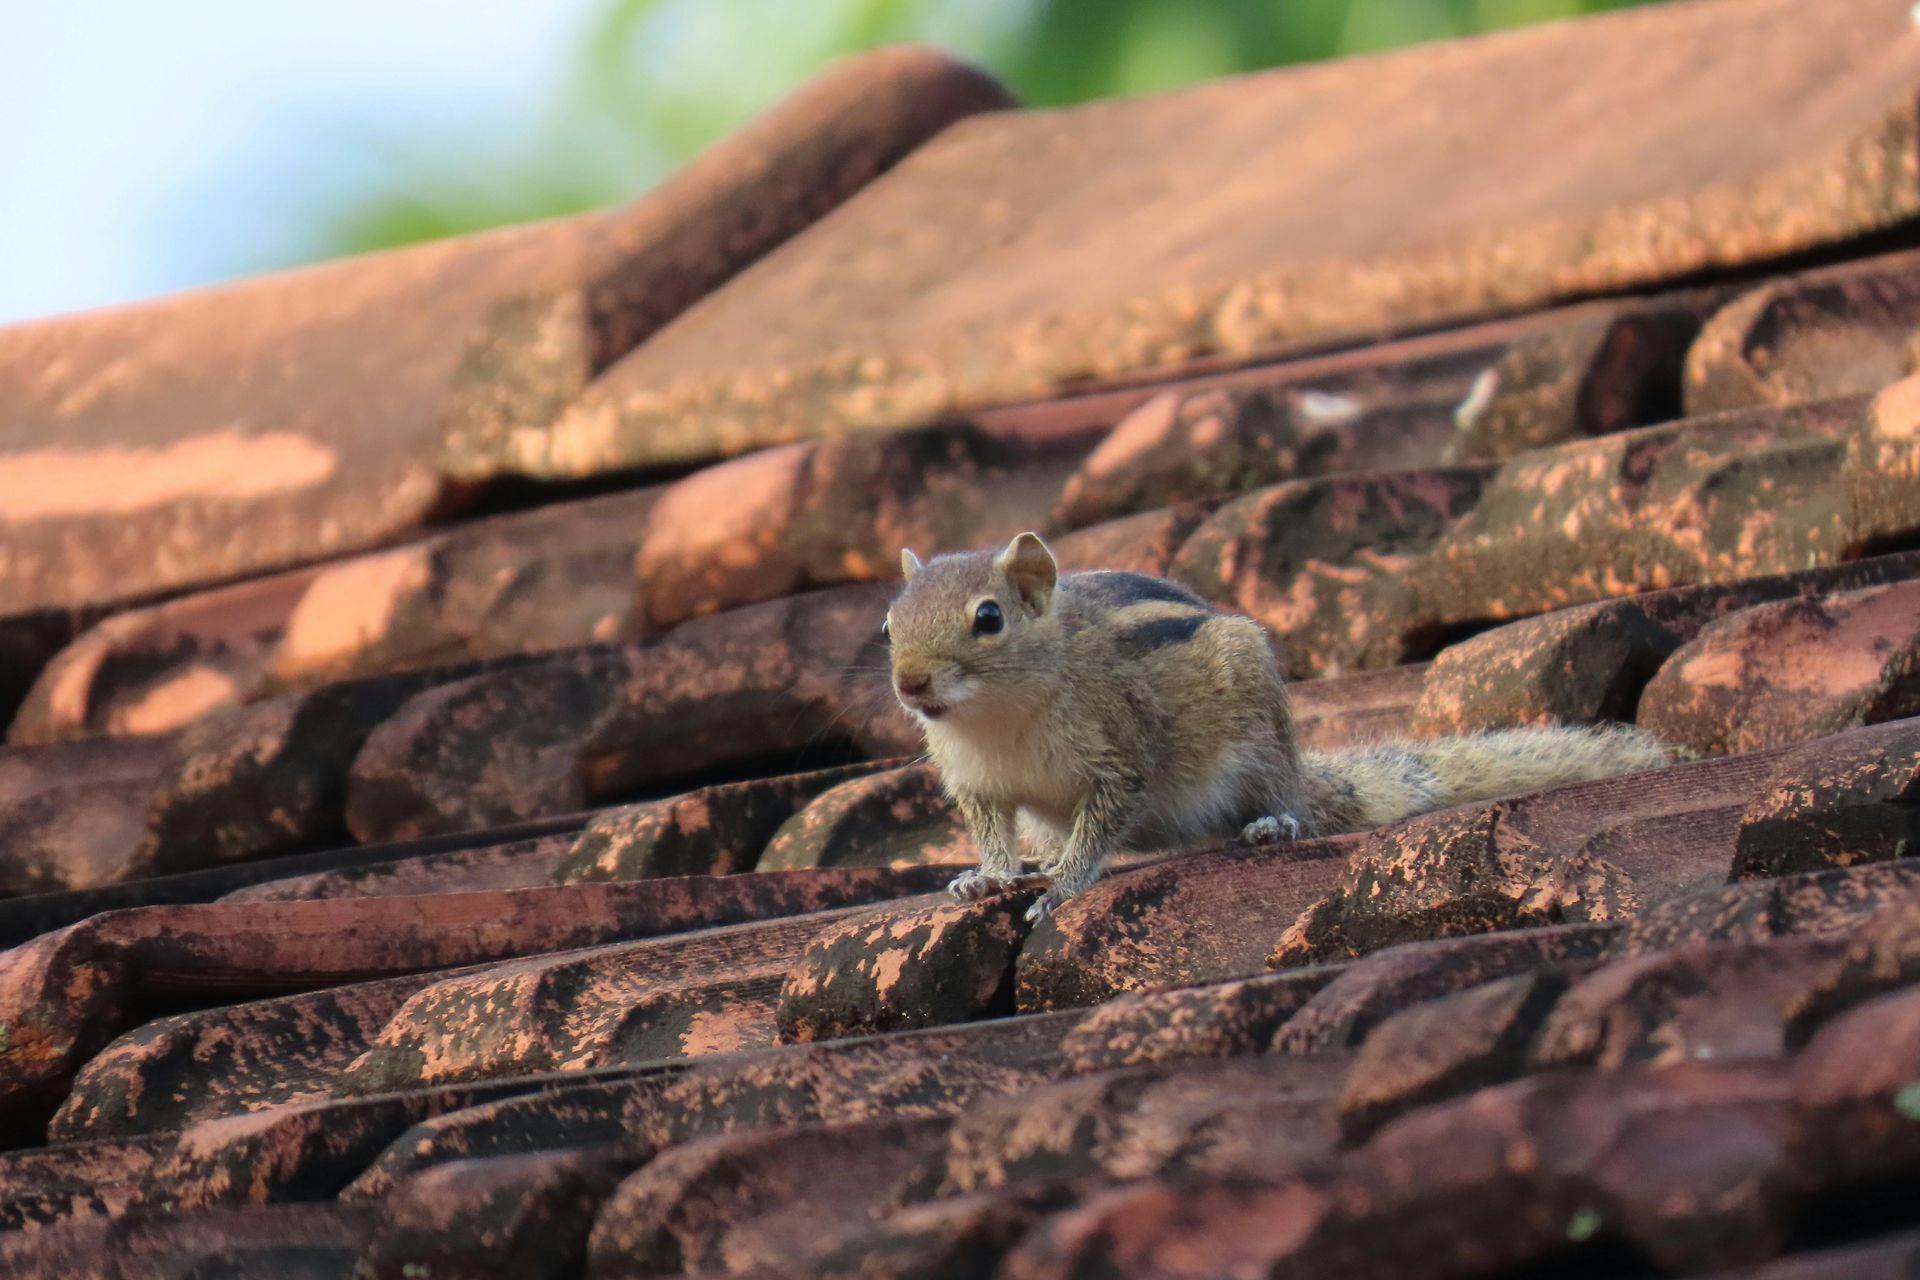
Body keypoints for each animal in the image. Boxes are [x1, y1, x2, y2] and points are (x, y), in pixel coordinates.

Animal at [883, 531, 1671, 922]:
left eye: (988, 618)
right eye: (889, 623)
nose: (910, 684)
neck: (994, 716)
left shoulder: (1119, 753)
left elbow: (1102, 823)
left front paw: (1063, 888)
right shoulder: (977, 785)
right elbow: (992, 833)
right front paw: (988, 877)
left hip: (1259, 740)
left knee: (1284, 801)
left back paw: (1274, 823)